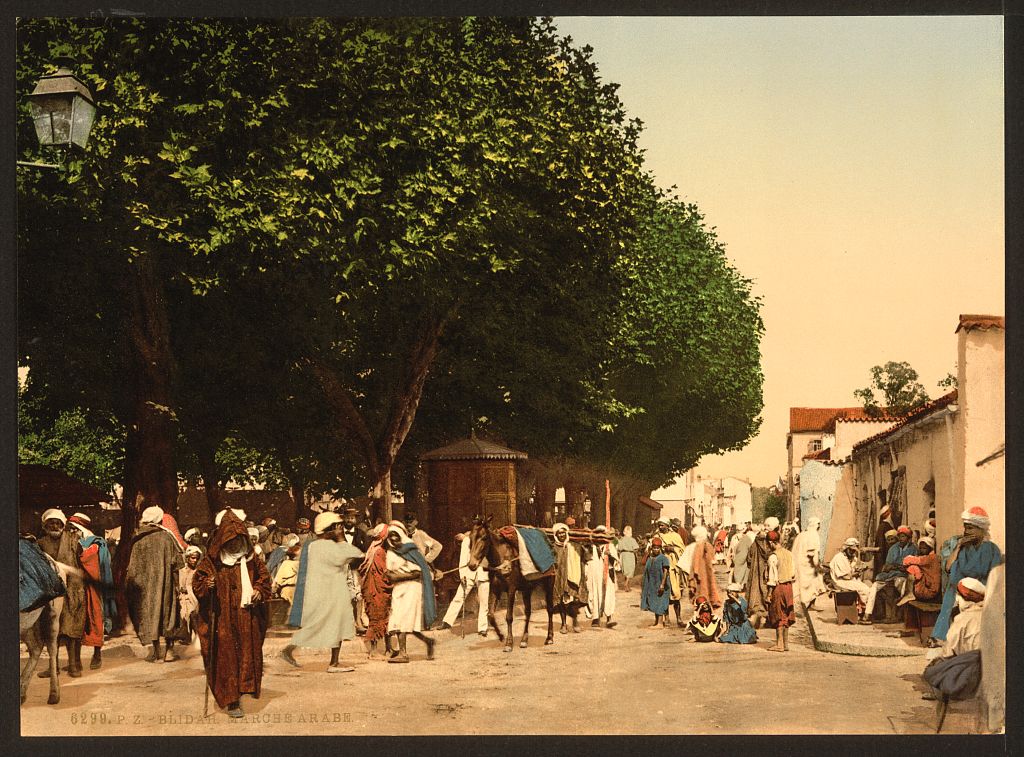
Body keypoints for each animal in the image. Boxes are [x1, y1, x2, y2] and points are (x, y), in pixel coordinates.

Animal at [20, 553, 80, 708]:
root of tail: (57, 564)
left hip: (52, 615)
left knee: (51, 648)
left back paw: (54, 695)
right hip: (28, 623)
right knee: (36, 648)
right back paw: (22, 694)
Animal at [468, 518, 557, 655]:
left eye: (484, 537)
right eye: (470, 538)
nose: (471, 565)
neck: (502, 560)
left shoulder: (511, 590)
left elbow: (509, 617)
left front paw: (509, 643)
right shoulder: (495, 591)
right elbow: (491, 615)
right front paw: (501, 636)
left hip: (549, 584)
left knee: (550, 609)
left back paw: (549, 638)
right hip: (527, 589)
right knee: (528, 612)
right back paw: (524, 640)